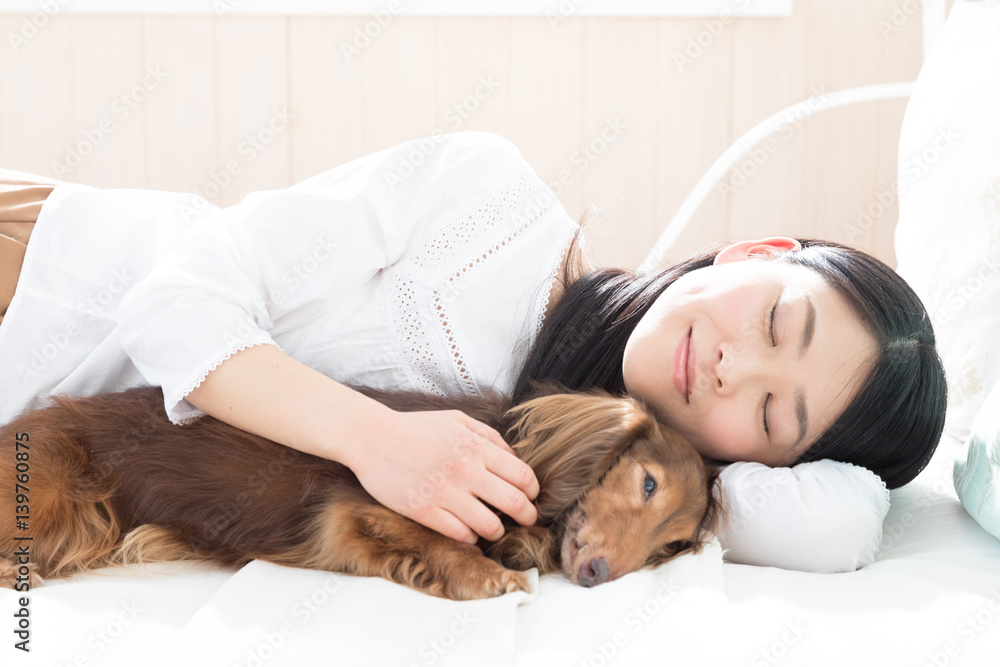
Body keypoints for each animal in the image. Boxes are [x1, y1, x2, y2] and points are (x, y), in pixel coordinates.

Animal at [0, 380, 720, 600]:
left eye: (672, 545)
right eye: (647, 483)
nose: (598, 574)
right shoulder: (361, 506)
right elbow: (441, 539)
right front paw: (488, 574)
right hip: (54, 499)